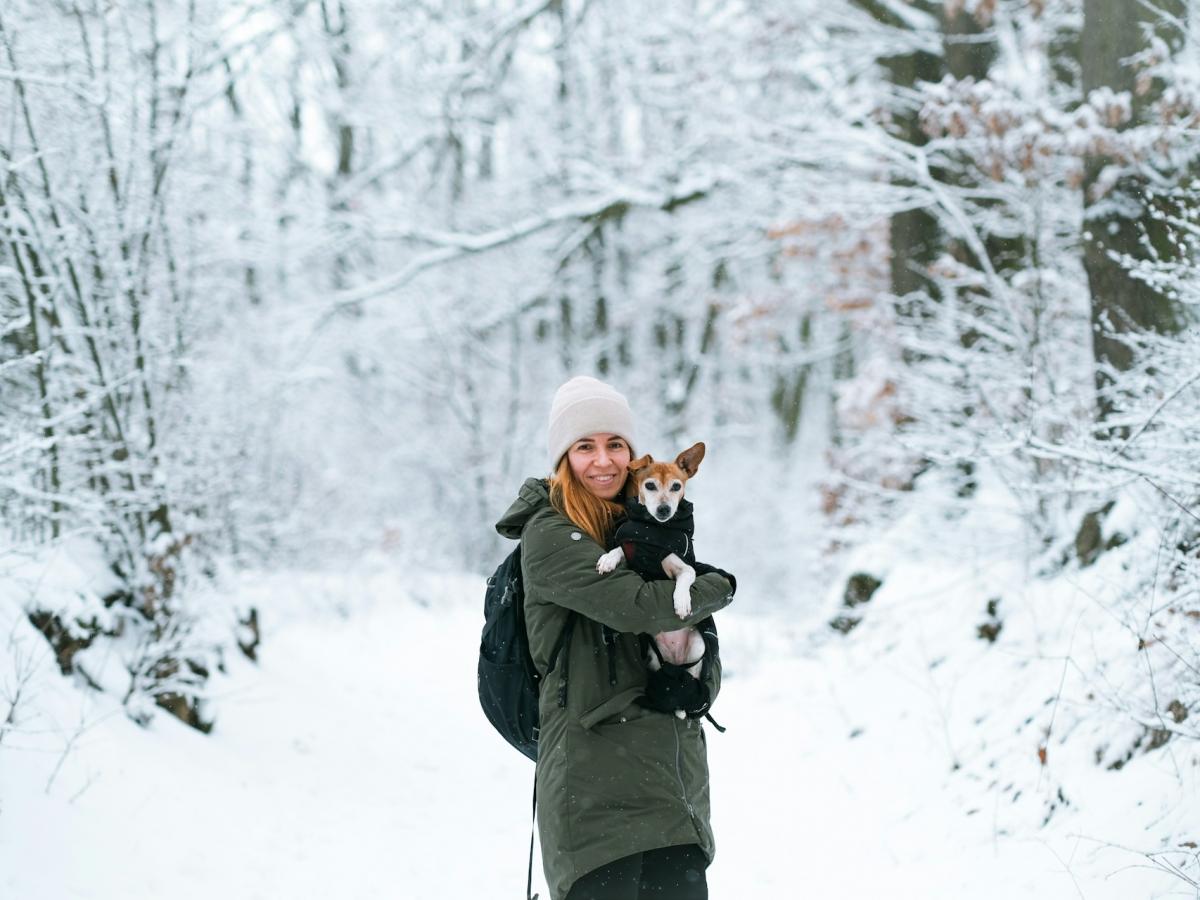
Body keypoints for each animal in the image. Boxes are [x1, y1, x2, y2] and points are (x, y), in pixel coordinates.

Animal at [596, 442, 707, 683]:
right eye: (649, 485)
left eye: (676, 486)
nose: (664, 509)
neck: (654, 531)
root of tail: (675, 659)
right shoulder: (632, 551)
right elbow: (619, 549)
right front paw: (608, 559)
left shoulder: (685, 566)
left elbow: (685, 577)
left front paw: (682, 602)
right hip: (654, 659)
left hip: (698, 649)